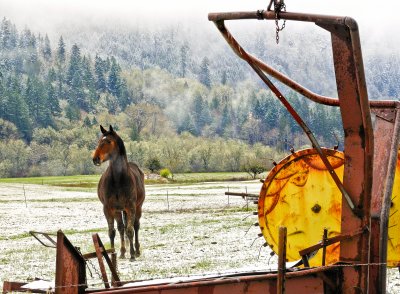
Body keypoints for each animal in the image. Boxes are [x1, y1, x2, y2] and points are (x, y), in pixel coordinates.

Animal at [92, 125, 145, 260]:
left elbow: (130, 230)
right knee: (121, 228)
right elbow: (112, 232)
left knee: (136, 226)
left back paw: (136, 251)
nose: (95, 159)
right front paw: (112, 253)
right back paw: (122, 252)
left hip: (137, 207)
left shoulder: (131, 207)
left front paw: (132, 255)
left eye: (108, 141)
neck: (117, 179)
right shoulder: (109, 208)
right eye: (99, 141)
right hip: (119, 211)